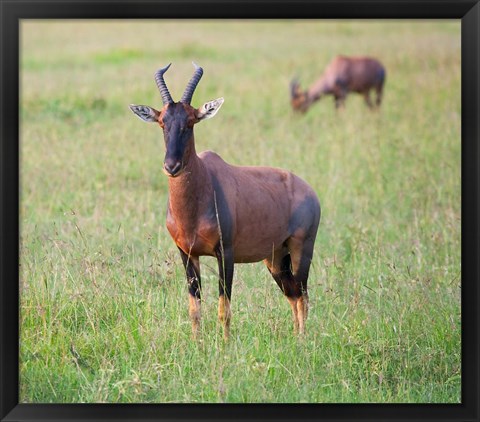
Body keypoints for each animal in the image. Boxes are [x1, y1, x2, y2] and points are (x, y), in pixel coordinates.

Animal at [129, 62, 320, 340]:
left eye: (191, 122)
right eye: (162, 123)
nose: (171, 166)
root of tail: (310, 191)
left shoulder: (225, 253)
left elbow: (224, 308)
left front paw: (225, 345)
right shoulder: (187, 254)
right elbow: (194, 308)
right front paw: (197, 345)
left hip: (301, 249)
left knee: (303, 295)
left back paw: (304, 341)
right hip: (275, 258)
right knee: (293, 295)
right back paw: (295, 338)